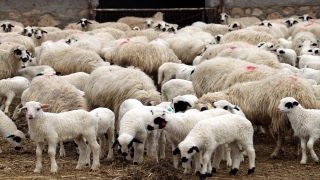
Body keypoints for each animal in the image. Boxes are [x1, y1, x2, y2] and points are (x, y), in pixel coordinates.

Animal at [192, 72, 320, 158]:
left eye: (203, 109)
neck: (230, 98)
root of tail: (303, 92)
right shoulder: (261, 120)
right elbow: (269, 134)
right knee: (295, 135)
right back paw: (296, 151)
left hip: (280, 116)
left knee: (282, 136)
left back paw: (275, 153)